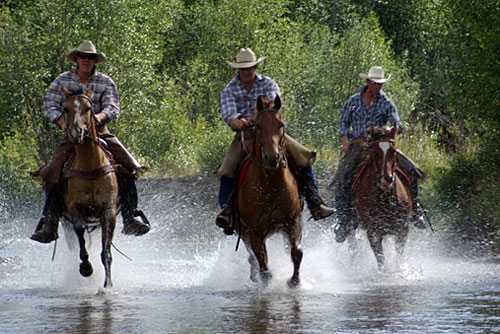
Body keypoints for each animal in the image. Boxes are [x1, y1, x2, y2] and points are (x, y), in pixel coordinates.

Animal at [60, 87, 118, 288]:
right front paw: (86, 268)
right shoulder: (74, 208)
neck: (90, 167)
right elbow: (80, 229)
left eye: (88, 108)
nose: (76, 132)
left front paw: (108, 286)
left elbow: (106, 251)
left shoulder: (108, 210)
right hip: (65, 224)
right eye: (66, 109)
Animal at [235, 94, 302, 288]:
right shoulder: (254, 232)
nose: (272, 157)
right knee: (252, 258)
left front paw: (294, 282)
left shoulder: (293, 221)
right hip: (243, 232)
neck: (271, 186)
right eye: (258, 125)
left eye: (280, 124)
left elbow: (297, 253)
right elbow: (263, 265)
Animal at [346, 124, 412, 268]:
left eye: (393, 151)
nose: (385, 180)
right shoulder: (373, 232)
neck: (385, 200)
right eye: (375, 151)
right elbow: (380, 259)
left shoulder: (402, 231)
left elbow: (397, 258)